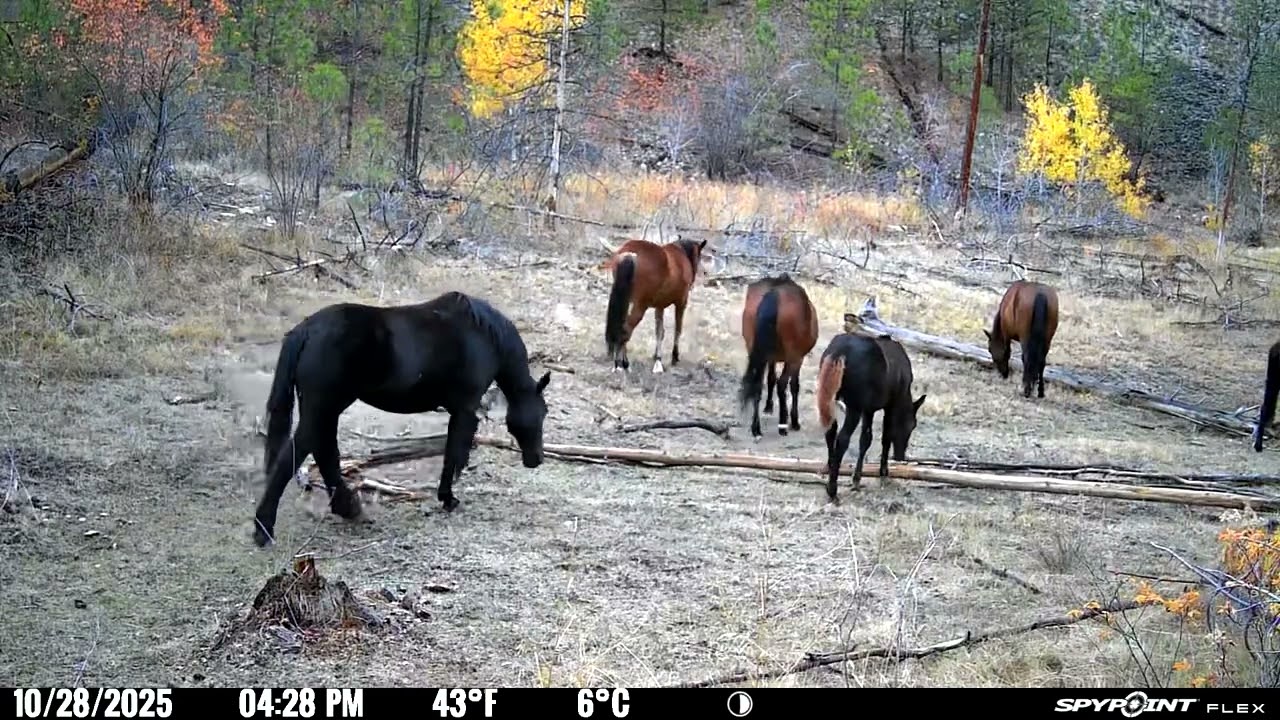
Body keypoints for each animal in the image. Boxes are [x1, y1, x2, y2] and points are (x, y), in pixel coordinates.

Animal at [252, 291, 552, 548]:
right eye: (543, 412)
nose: (536, 459)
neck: (483, 336)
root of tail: (306, 330)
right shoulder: (465, 409)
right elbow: (454, 453)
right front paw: (448, 498)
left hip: (325, 409)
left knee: (323, 452)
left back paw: (347, 507)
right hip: (323, 407)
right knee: (296, 455)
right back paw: (264, 529)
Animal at [601, 236, 707, 373]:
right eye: (698, 256)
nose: (703, 272)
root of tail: (630, 254)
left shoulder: (659, 306)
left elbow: (659, 332)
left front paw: (657, 358)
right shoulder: (681, 303)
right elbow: (677, 330)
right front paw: (674, 356)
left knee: (623, 327)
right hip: (640, 305)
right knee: (626, 330)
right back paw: (621, 363)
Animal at [737, 274, 819, 440]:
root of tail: (774, 294)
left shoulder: (770, 357)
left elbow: (771, 379)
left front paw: (768, 406)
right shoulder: (798, 358)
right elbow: (793, 385)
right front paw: (794, 420)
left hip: (755, 350)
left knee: (758, 384)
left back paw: (756, 428)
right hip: (793, 356)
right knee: (782, 384)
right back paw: (783, 425)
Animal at [814, 333, 926, 502]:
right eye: (911, 425)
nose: (900, 456)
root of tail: (839, 353)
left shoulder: (869, 409)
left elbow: (865, 440)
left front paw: (857, 478)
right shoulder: (888, 406)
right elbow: (884, 437)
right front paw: (882, 472)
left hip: (830, 397)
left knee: (830, 430)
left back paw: (829, 468)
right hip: (854, 406)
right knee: (842, 438)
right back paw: (832, 489)